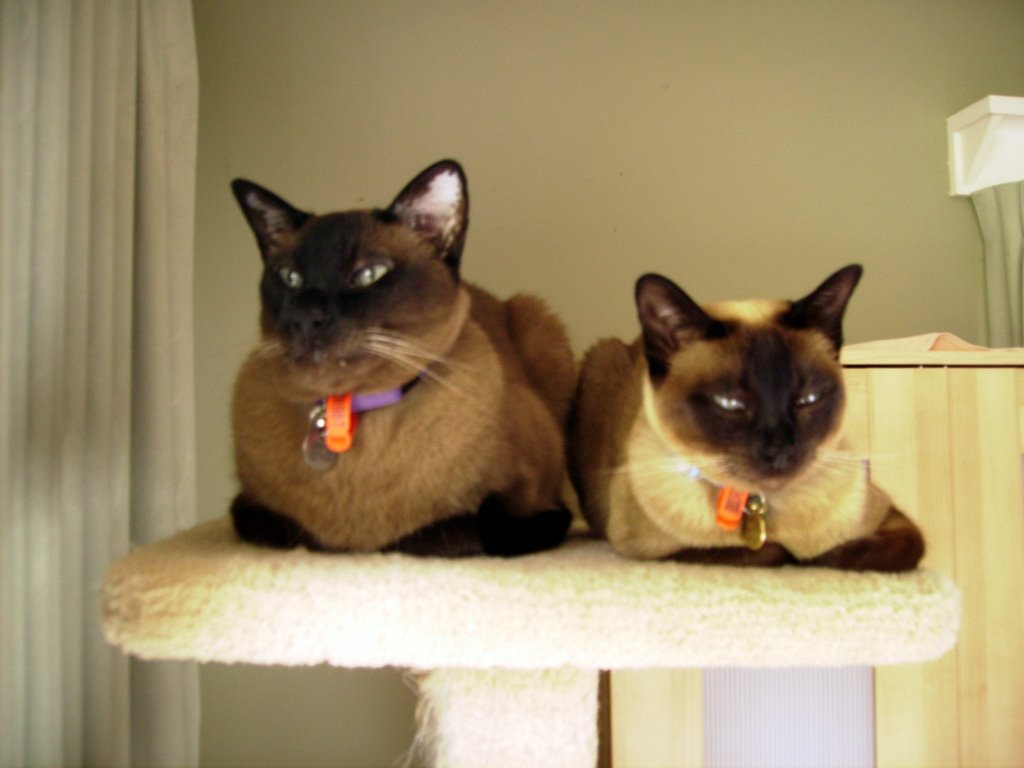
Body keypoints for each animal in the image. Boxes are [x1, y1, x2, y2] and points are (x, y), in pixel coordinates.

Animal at [228, 160, 574, 556]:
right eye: (290, 277)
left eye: (368, 275)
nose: (305, 317)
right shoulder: (250, 506)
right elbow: (295, 532)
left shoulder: (530, 500)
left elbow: (440, 534)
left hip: (539, 319)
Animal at [568, 264, 925, 571]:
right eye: (730, 403)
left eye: (808, 400)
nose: (780, 452)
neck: (761, 505)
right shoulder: (651, 551)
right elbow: (775, 552)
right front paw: (799, 557)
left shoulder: (892, 519)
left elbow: (873, 550)